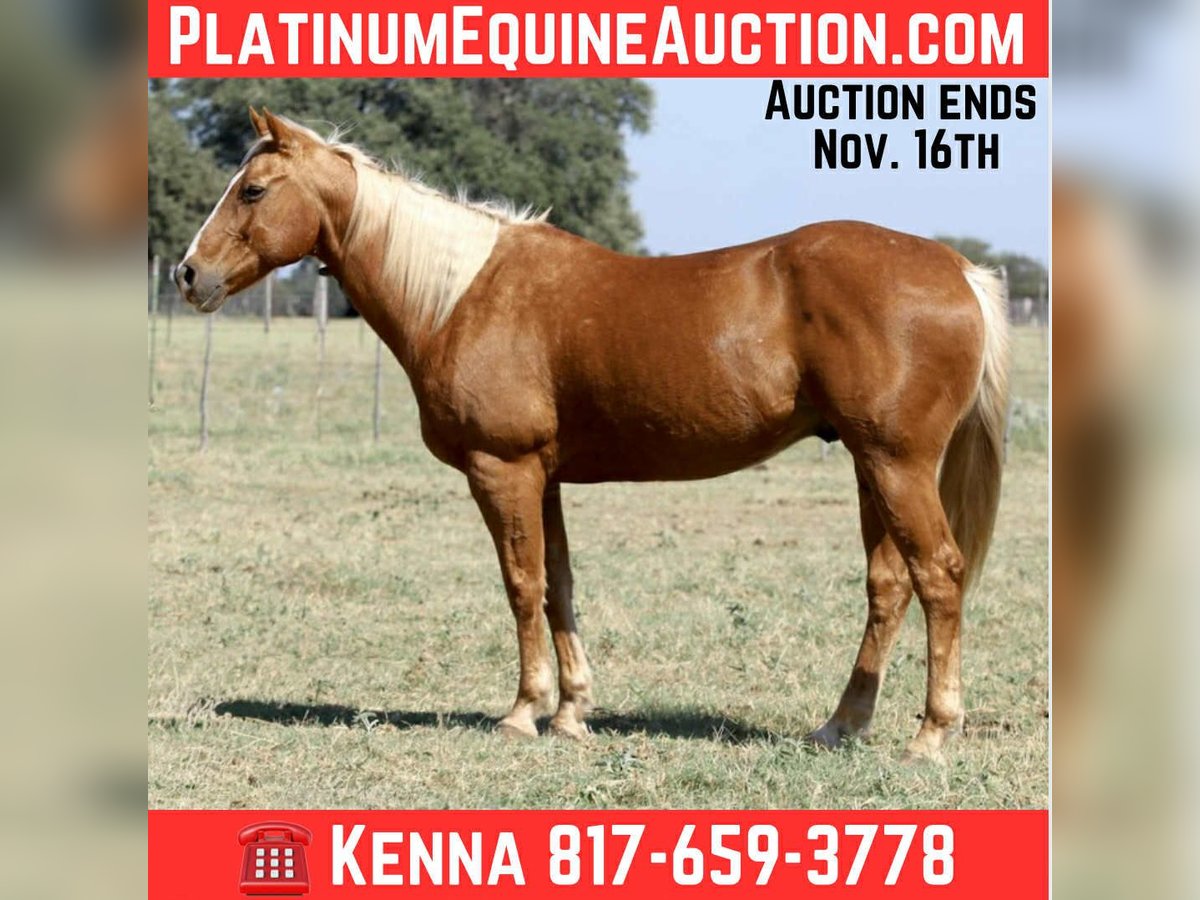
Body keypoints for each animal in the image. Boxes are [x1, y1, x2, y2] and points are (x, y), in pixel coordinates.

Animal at [175, 108, 1009, 761]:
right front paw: (572, 712)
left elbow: (521, 586)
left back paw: (932, 733)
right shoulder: (542, 476)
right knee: (889, 584)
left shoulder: (502, 468)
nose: (187, 274)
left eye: (253, 190)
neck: (461, 292)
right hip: (872, 466)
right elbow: (559, 586)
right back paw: (841, 725)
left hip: (898, 464)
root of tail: (959, 270)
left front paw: (522, 713)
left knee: (938, 574)